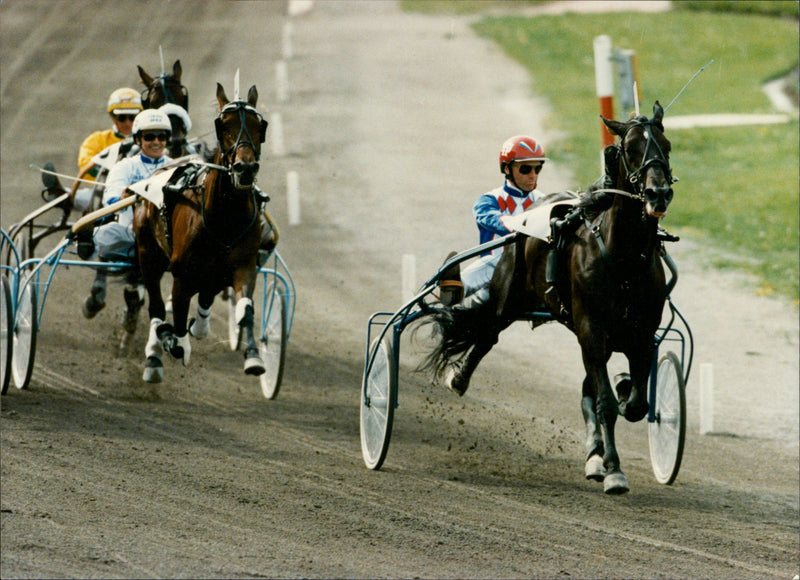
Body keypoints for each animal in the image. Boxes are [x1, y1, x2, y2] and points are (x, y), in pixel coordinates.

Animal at [133, 80, 268, 380]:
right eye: (224, 125)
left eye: (260, 126)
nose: (245, 168)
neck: (225, 220)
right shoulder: (182, 273)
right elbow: (176, 324)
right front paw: (171, 339)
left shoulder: (243, 266)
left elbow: (246, 310)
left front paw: (253, 357)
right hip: (147, 254)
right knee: (156, 307)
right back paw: (154, 356)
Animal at [422, 103, 680, 494]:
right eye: (630, 147)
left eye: (666, 145)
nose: (658, 193)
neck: (623, 258)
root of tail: (527, 218)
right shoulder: (592, 328)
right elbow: (605, 403)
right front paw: (615, 471)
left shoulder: (640, 333)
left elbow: (634, 403)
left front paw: (623, 400)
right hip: (510, 296)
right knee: (489, 331)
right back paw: (460, 377)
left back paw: (595, 453)